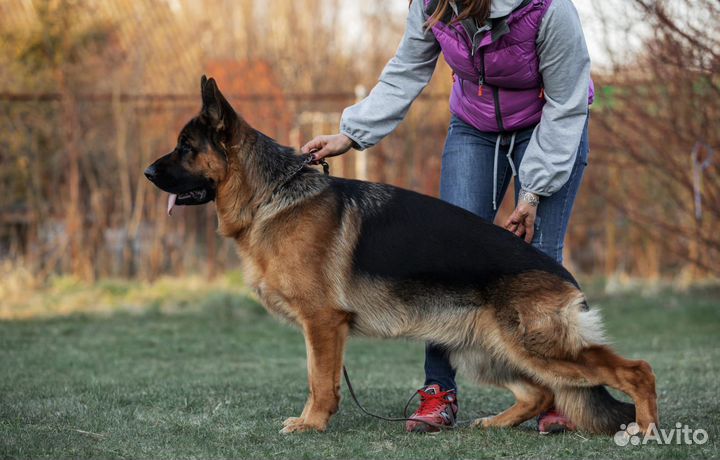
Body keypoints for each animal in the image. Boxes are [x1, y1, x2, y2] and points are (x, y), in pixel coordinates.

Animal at [142, 76, 660, 434]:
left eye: (185, 148)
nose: (147, 173)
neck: (273, 194)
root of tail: (566, 277)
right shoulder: (322, 326)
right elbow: (319, 378)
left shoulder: (323, 323)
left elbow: (319, 381)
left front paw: (311, 424)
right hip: (483, 351)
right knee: (539, 393)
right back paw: (495, 423)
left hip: (537, 347)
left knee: (636, 370)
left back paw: (647, 428)